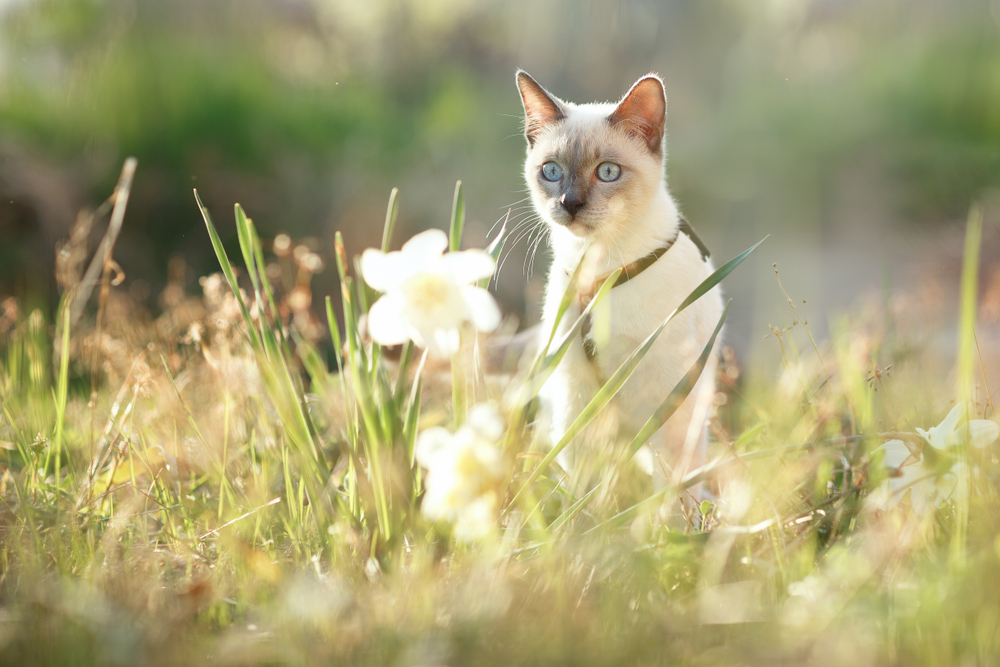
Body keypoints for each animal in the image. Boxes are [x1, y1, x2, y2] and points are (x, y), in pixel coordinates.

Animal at [516, 70, 728, 490]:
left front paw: (664, 512)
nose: (569, 203)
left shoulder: (667, 390)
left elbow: (670, 490)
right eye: (552, 171)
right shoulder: (577, 392)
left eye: (608, 172)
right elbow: (581, 484)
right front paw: (584, 510)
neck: (601, 270)